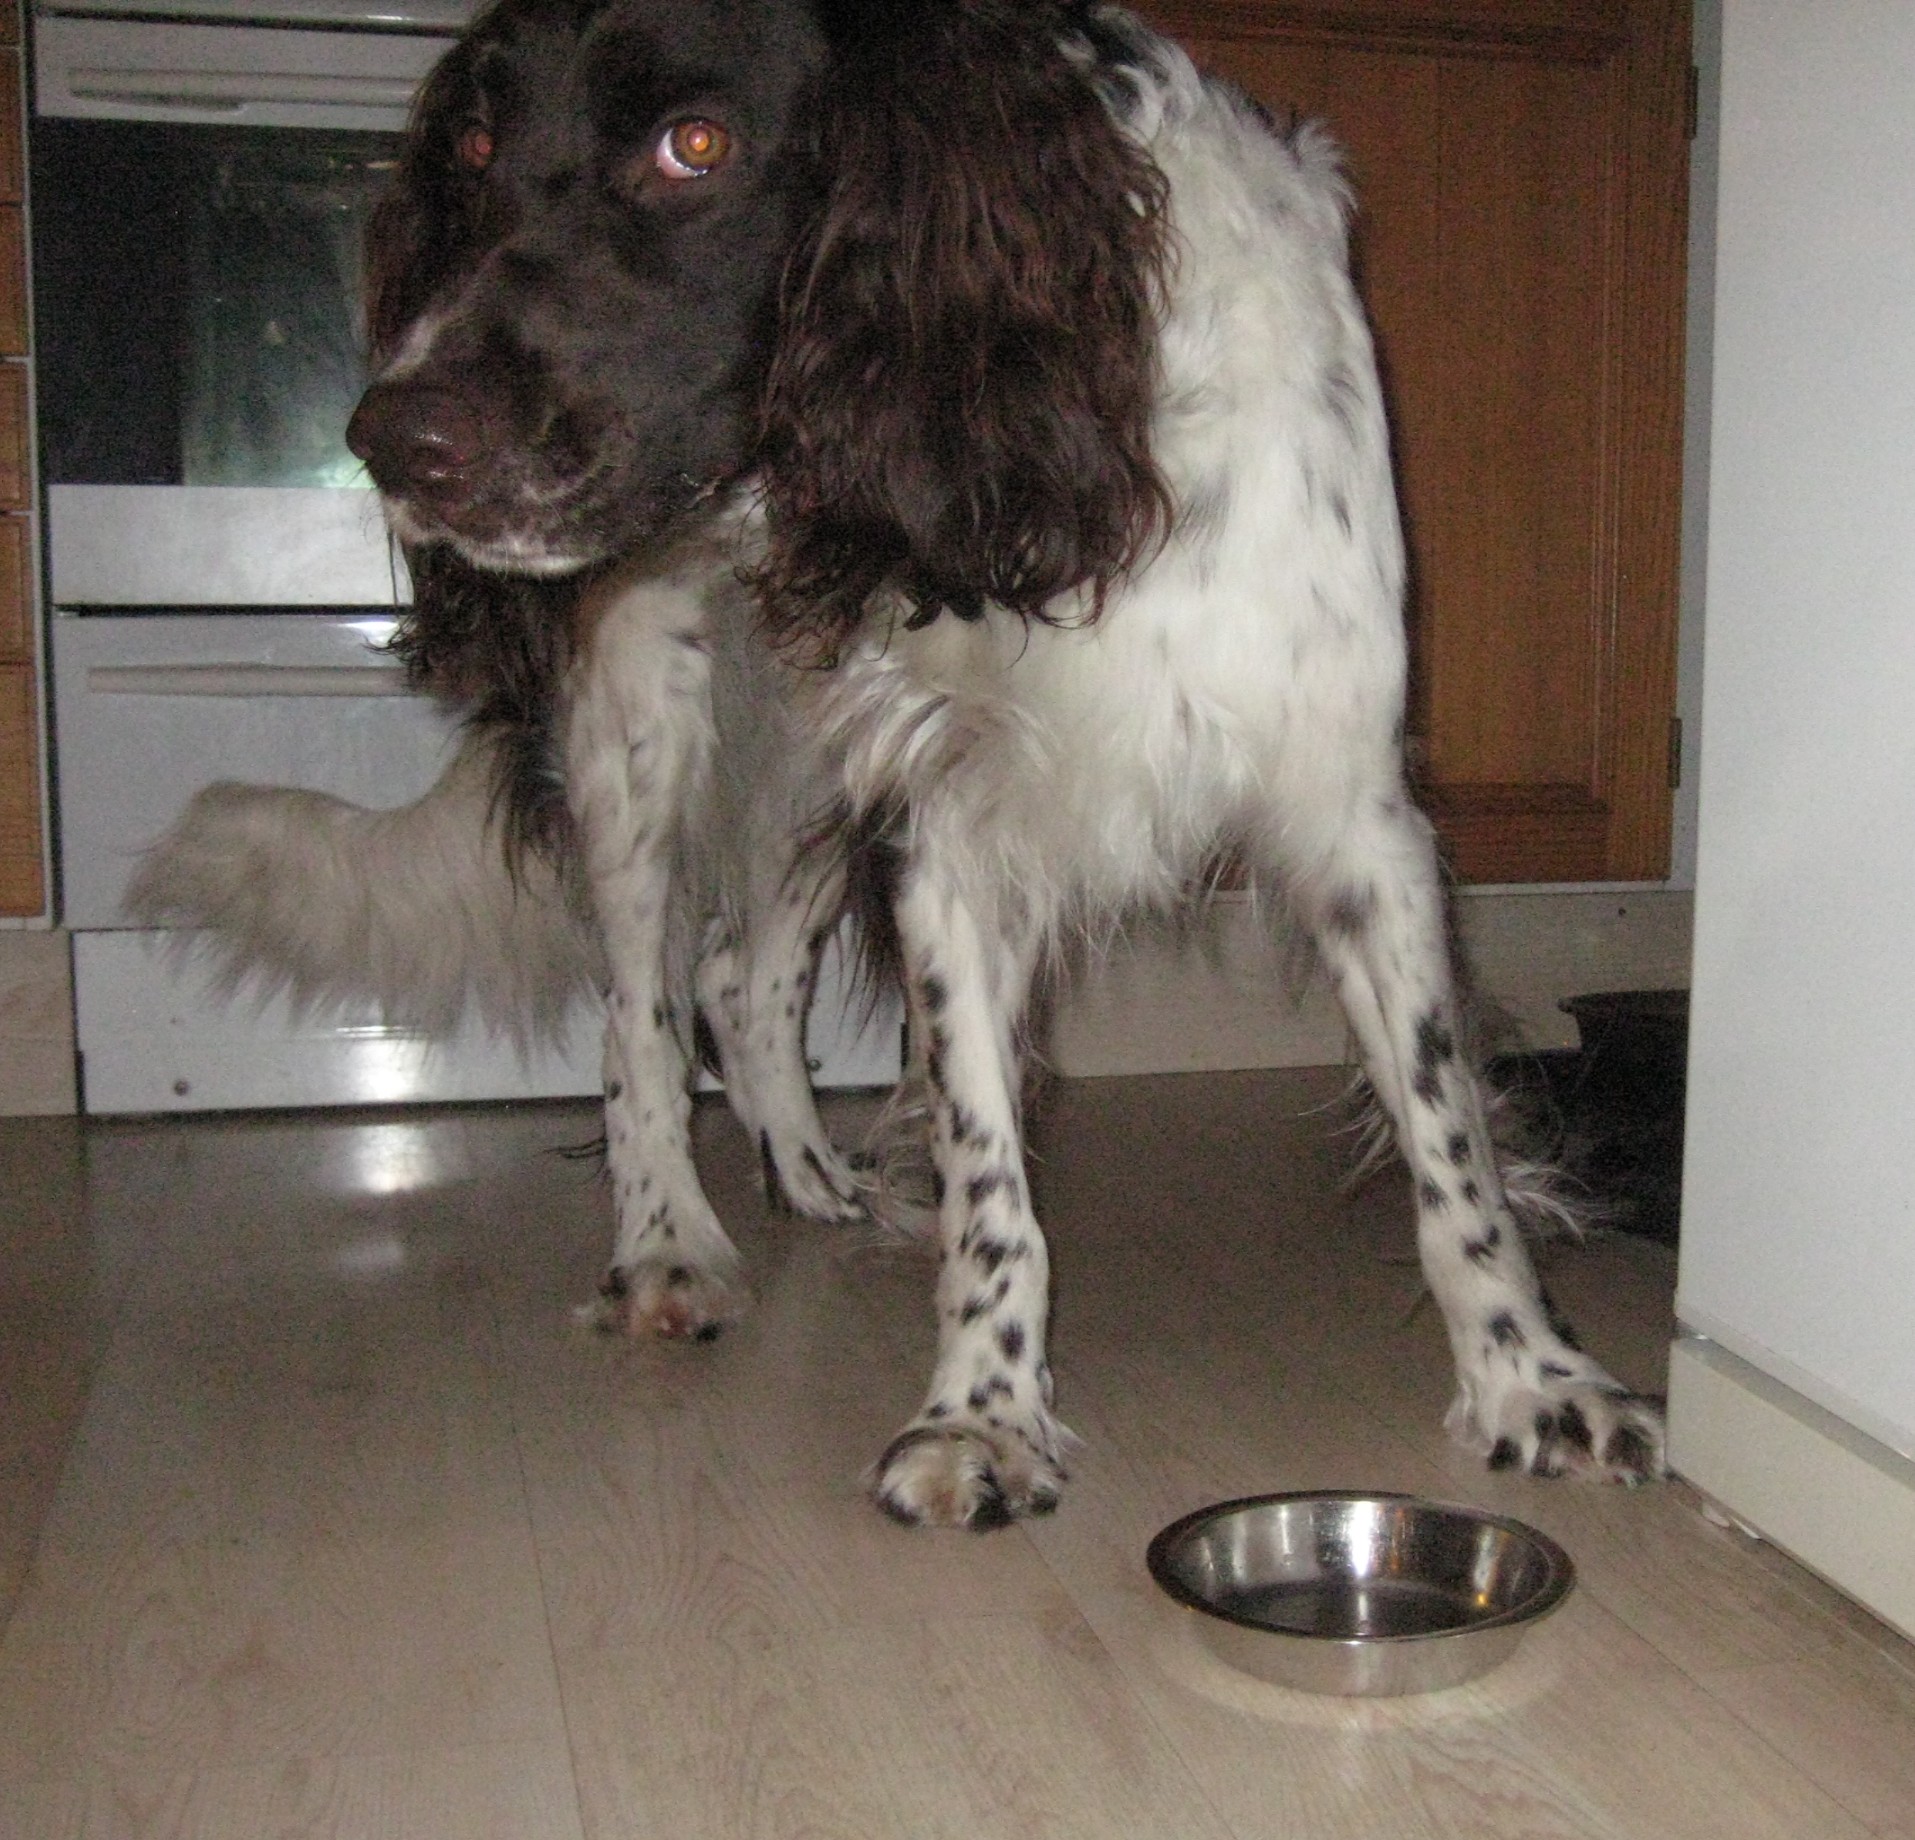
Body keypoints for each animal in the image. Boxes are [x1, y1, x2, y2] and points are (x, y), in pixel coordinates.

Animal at [137, 0, 1667, 1528]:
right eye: (466, 146)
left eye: (696, 144)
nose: (392, 438)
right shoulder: (948, 826)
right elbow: (990, 1177)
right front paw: (981, 1410)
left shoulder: (1352, 809)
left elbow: (1448, 1139)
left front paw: (1532, 1375)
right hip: (646, 732)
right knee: (640, 1008)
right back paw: (667, 1240)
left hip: (812, 767)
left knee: (740, 973)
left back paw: (811, 1176)